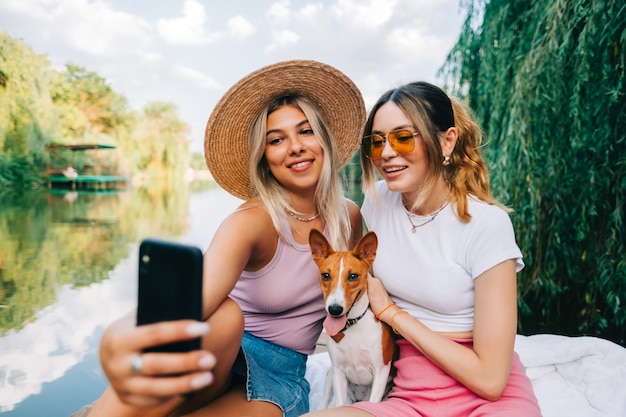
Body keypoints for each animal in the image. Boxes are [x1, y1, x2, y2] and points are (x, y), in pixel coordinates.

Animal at [308, 228, 394, 406]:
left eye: (353, 276)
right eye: (325, 275)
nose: (334, 309)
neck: (354, 325)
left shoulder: (381, 372)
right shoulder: (338, 373)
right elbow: (339, 403)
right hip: (330, 375)